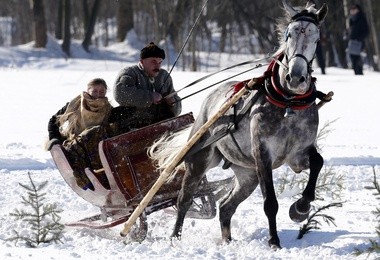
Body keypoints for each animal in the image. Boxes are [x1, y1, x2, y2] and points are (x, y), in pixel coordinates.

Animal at [150, 0, 328, 250]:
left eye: (316, 38)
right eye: (289, 34)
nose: (295, 78)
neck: (288, 102)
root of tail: (210, 99)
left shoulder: (298, 154)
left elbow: (318, 163)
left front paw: (300, 208)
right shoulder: (262, 154)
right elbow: (270, 202)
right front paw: (274, 241)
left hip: (247, 174)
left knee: (226, 207)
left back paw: (227, 241)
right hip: (200, 159)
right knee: (184, 199)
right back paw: (175, 238)